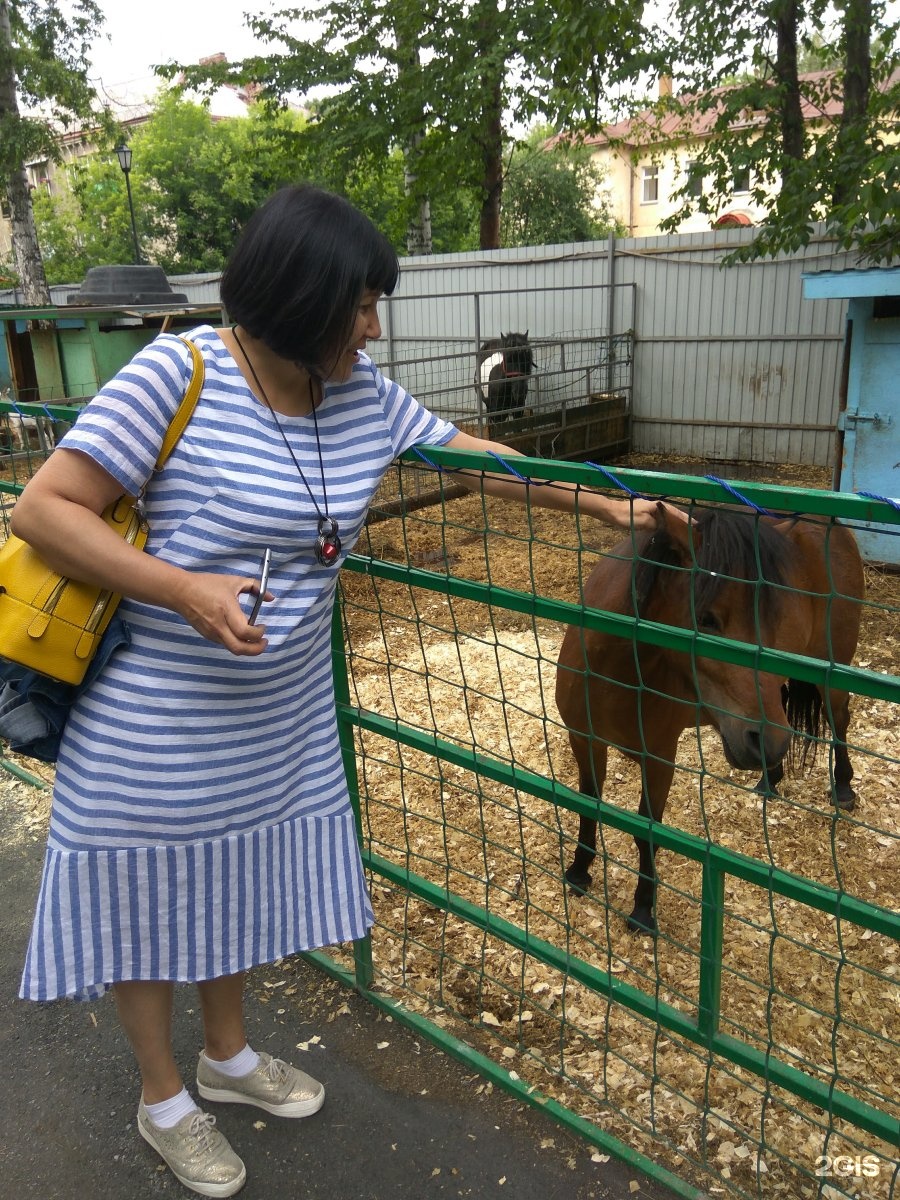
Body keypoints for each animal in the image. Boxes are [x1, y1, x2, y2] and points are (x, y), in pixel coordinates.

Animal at [556, 501, 868, 931]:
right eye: (705, 618)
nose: (765, 741)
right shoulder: (584, 740)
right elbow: (588, 806)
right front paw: (579, 872)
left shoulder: (659, 760)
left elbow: (646, 831)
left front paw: (643, 910)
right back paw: (770, 779)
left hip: (829, 673)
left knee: (840, 721)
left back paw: (842, 787)